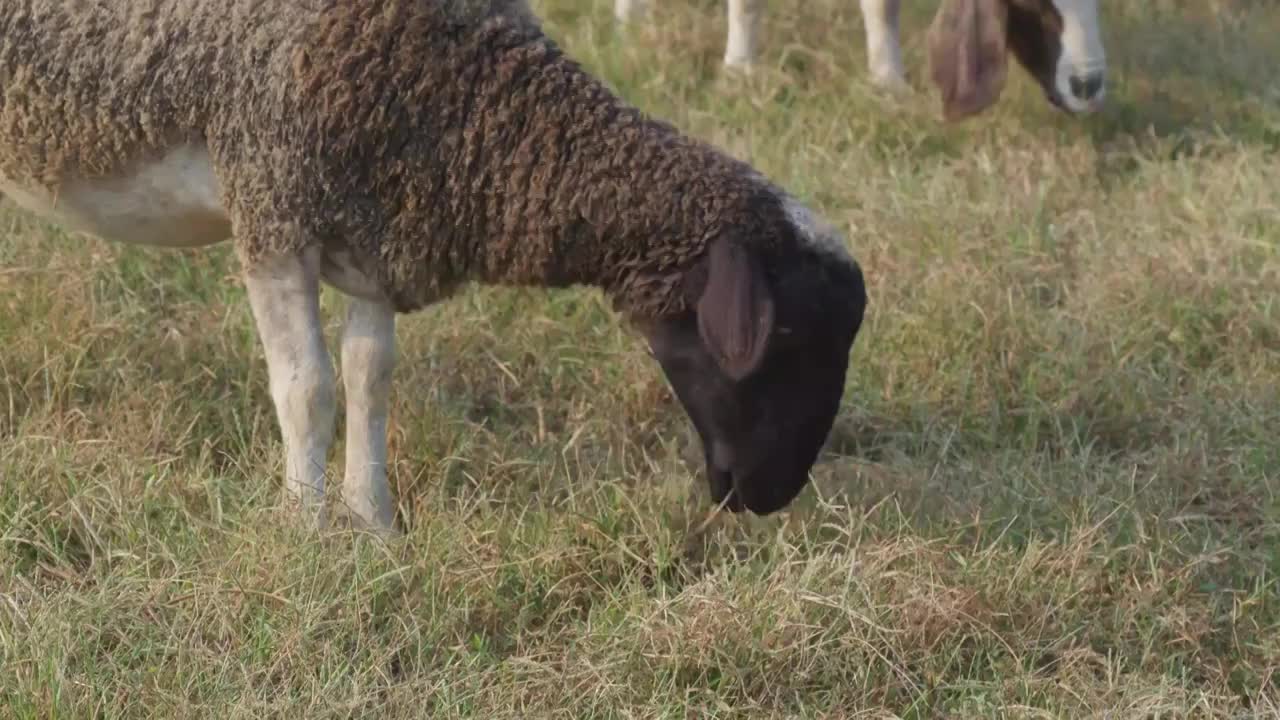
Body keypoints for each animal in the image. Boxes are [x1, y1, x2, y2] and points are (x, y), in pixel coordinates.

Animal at [0, 1, 870, 532]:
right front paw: (306, 526)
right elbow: (308, 390)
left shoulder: (384, 229)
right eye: (786, 336)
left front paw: (373, 521)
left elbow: (369, 377)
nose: (770, 495)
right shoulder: (274, 202)